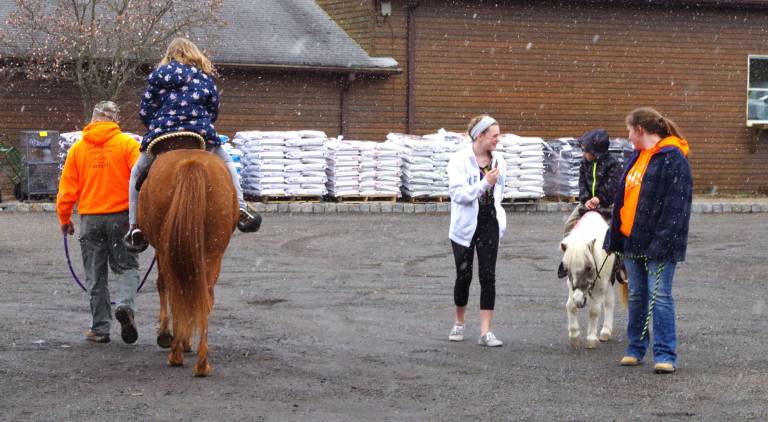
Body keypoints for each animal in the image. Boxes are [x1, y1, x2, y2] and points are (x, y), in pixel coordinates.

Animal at [136, 148, 236, 376]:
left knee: (176, 290)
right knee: (204, 295)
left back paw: (176, 353)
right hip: (213, 251)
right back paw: (202, 363)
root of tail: (191, 164)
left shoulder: (161, 251)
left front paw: (168, 335)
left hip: (167, 251)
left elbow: (163, 286)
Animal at [560, 211, 628, 350]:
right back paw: (606, 331)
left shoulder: (600, 285)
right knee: (609, 302)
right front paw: (574, 336)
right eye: (567, 268)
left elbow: (594, 311)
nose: (579, 300)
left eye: (588, 267)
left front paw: (591, 339)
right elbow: (570, 306)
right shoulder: (571, 285)